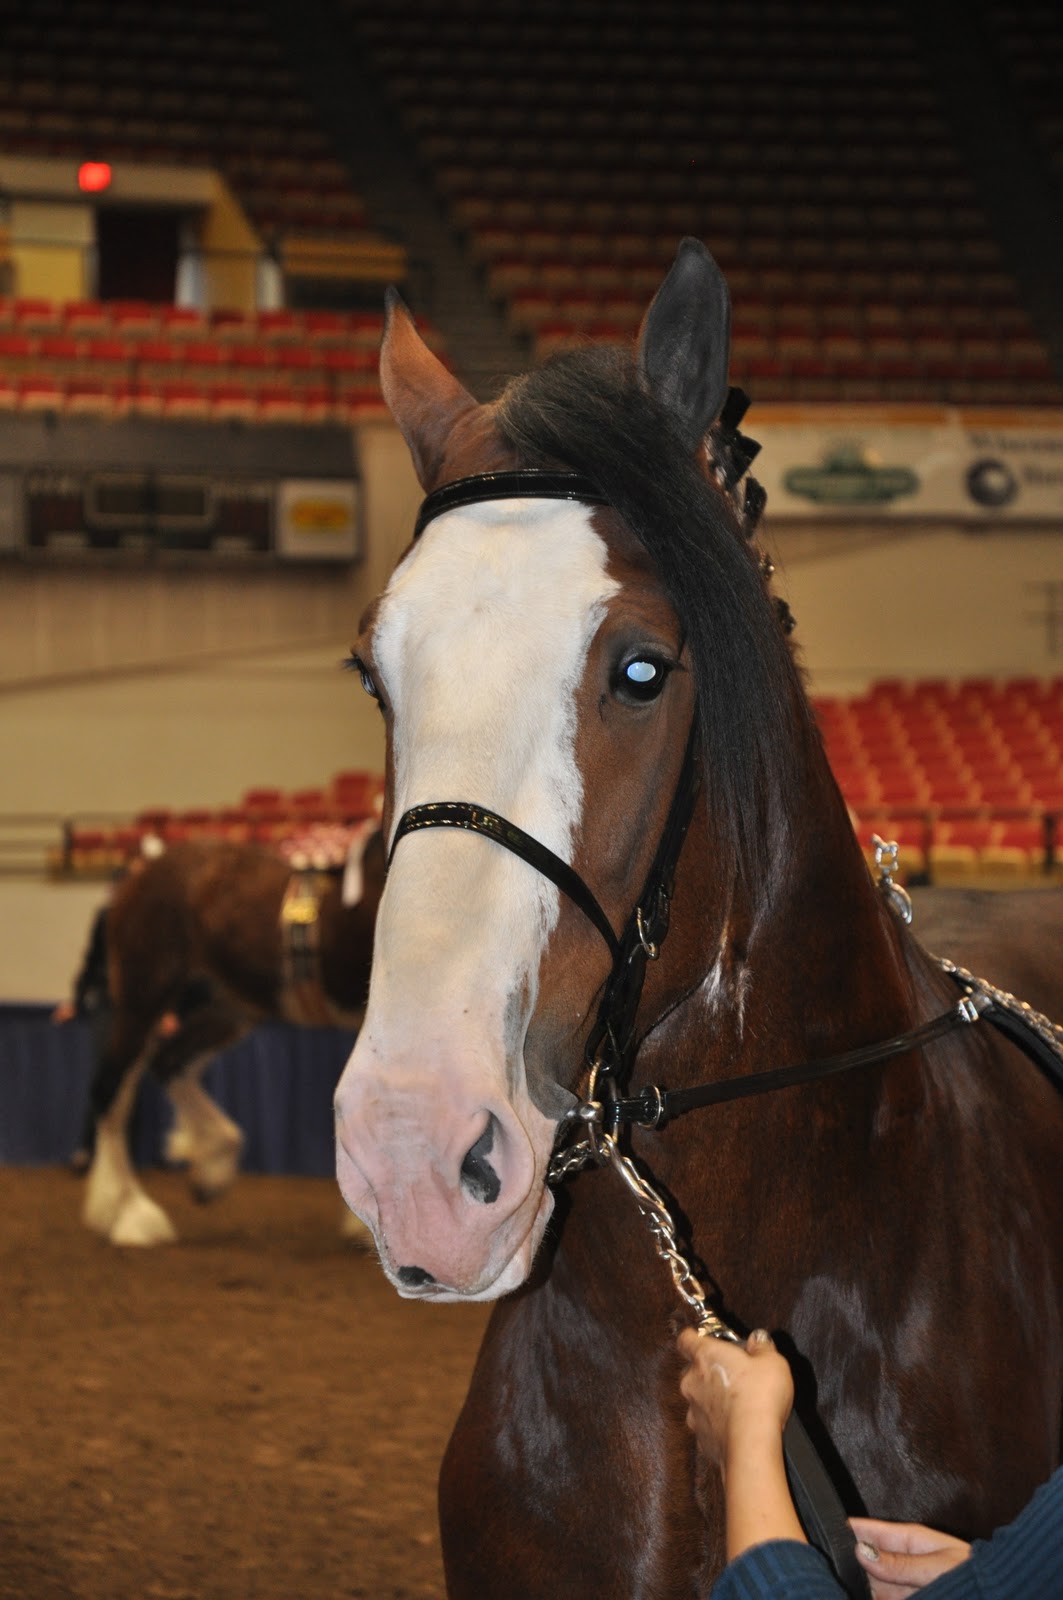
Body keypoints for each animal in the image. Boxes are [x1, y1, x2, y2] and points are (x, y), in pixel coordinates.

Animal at [84, 826, 384, 1247]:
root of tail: (138, 875)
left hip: (229, 1006)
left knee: (169, 1060)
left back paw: (213, 1162)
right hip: (145, 995)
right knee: (110, 1088)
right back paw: (132, 1215)